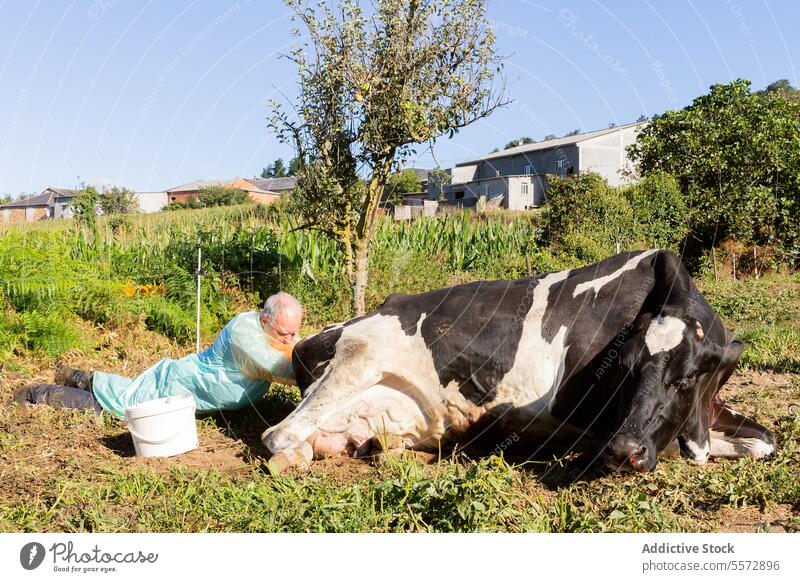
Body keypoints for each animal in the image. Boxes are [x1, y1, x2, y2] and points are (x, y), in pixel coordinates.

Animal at [262, 251, 776, 474]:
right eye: (624, 371)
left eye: (686, 379)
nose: (625, 451)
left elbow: (764, 442)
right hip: (359, 355)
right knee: (278, 435)